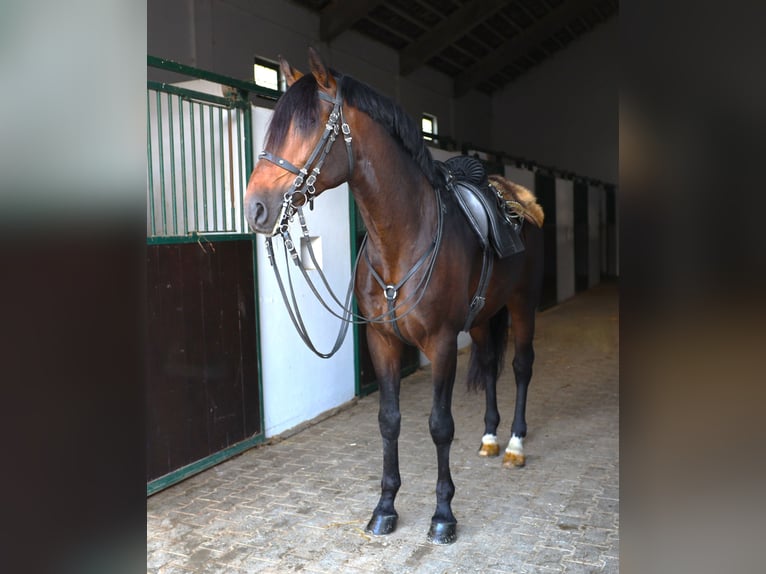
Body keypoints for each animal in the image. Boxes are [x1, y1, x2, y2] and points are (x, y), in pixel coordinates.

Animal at [246, 48, 544, 544]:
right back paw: (489, 438)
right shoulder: (382, 342)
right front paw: (385, 508)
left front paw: (443, 516)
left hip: (523, 303)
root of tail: (515, 196)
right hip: (484, 317)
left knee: (521, 368)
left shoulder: (441, 343)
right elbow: (389, 420)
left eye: (308, 128)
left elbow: (440, 425)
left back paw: (515, 445)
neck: (402, 240)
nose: (256, 209)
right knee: (489, 365)